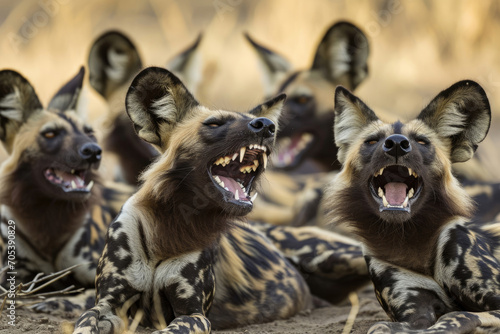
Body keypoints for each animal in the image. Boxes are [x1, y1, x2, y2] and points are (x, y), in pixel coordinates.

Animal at [71, 66, 368, 332]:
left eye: (267, 125)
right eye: (214, 124)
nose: (268, 126)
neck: (167, 228)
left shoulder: (193, 314)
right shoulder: (106, 306)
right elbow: (85, 321)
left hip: (335, 255)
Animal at [324, 80, 500, 332]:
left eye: (421, 141)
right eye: (372, 141)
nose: (397, 144)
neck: (409, 242)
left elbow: (456, 315)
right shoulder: (414, 312)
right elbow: (382, 327)